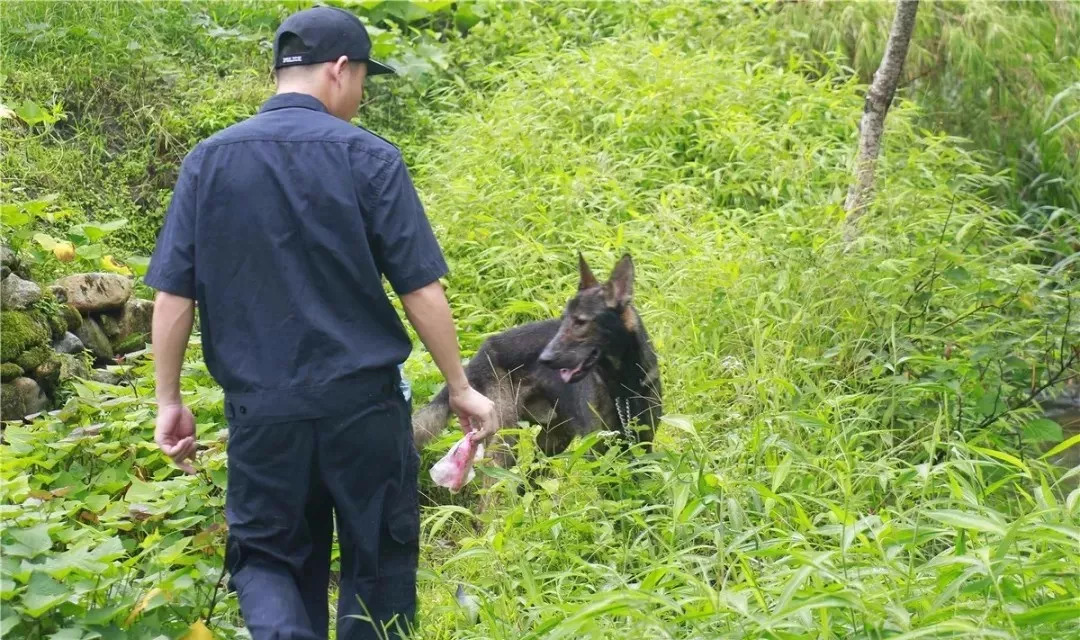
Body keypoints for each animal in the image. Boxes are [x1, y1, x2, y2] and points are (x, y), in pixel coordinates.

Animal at [410, 250, 660, 489]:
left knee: (531, 477)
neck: (622, 384)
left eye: (580, 322)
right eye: (563, 319)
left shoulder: (644, 446)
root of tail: (475, 359)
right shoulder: (598, 450)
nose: (544, 358)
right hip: (505, 439)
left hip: (554, 438)